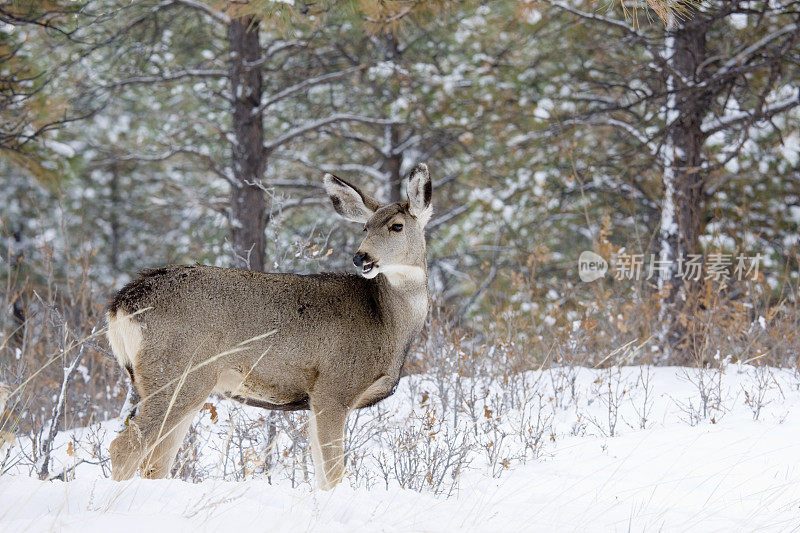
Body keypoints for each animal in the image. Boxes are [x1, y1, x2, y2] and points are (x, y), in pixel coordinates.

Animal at [107, 164, 434, 488]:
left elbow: (321, 474)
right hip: (176, 372)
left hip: (177, 383)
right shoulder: (333, 388)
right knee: (125, 447)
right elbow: (334, 474)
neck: (387, 323)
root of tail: (121, 304)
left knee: (156, 462)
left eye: (396, 226)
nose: (360, 257)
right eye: (365, 227)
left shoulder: (314, 401)